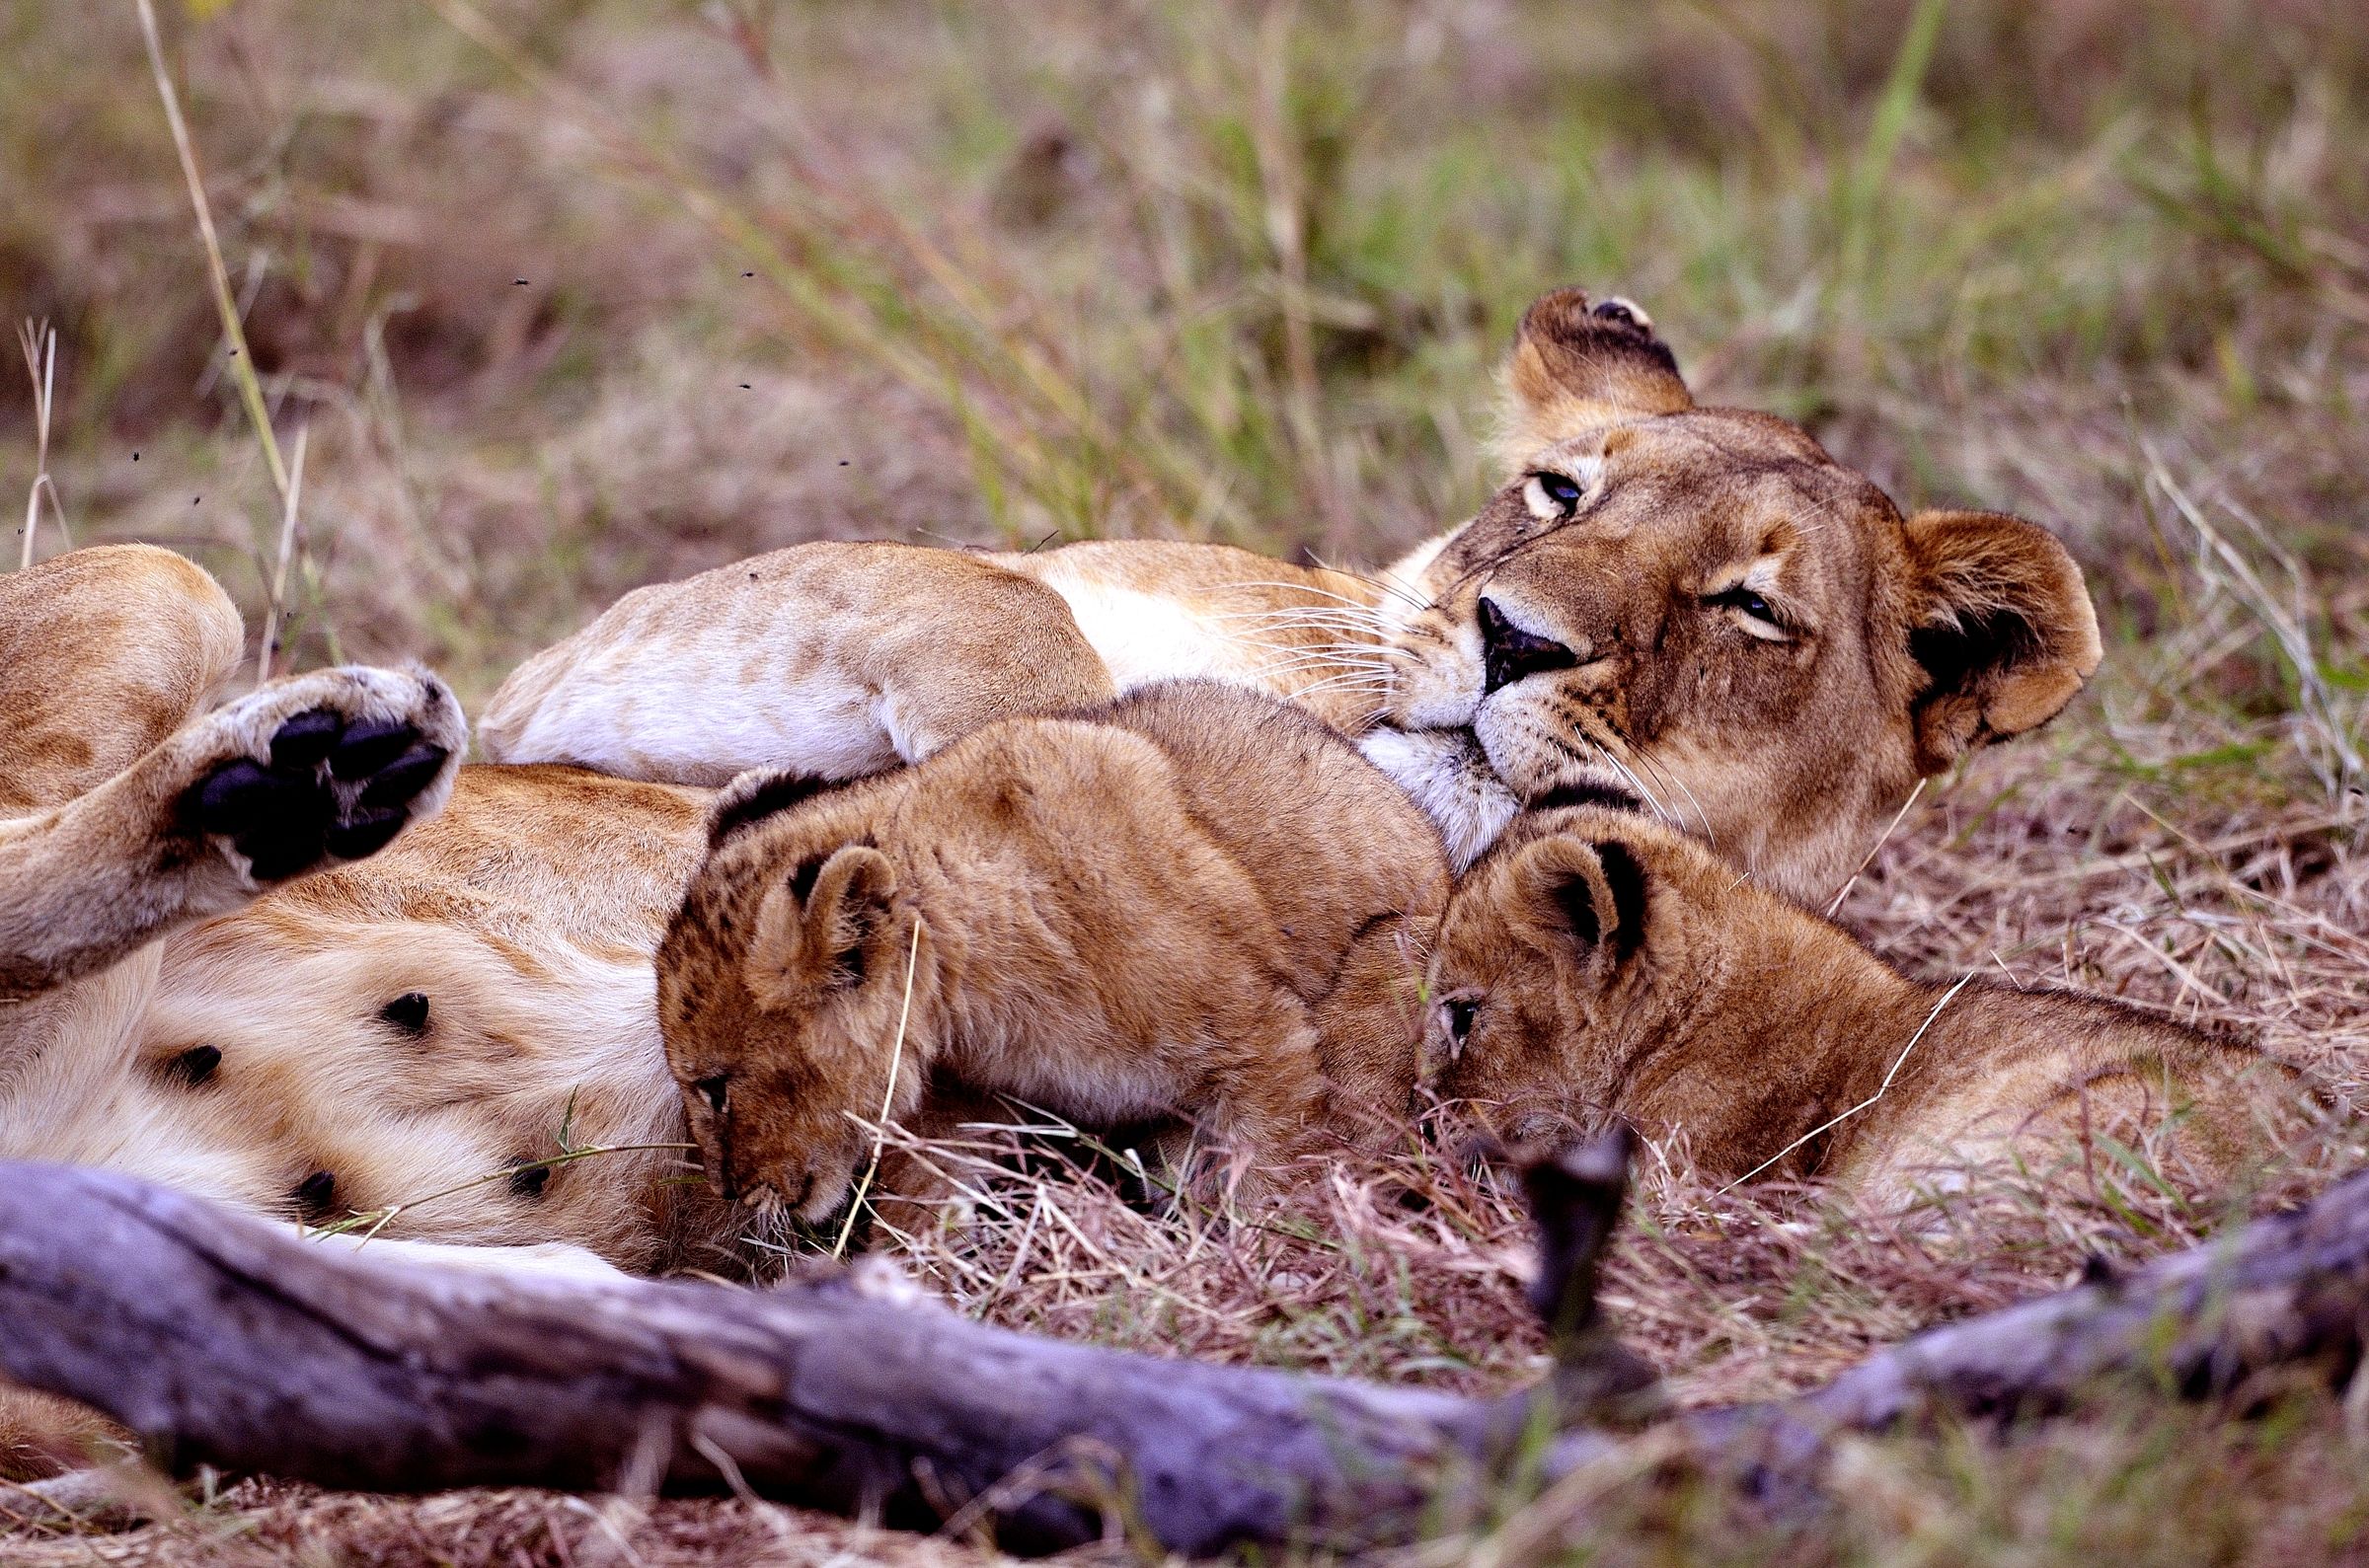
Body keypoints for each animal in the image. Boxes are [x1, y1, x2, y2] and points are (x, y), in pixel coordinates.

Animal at [658, 681, 1446, 1222]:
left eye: (715, 1087)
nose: (727, 1193)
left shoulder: (1265, 1039)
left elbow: (1272, 1177)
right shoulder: (959, 1105)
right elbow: (927, 1210)